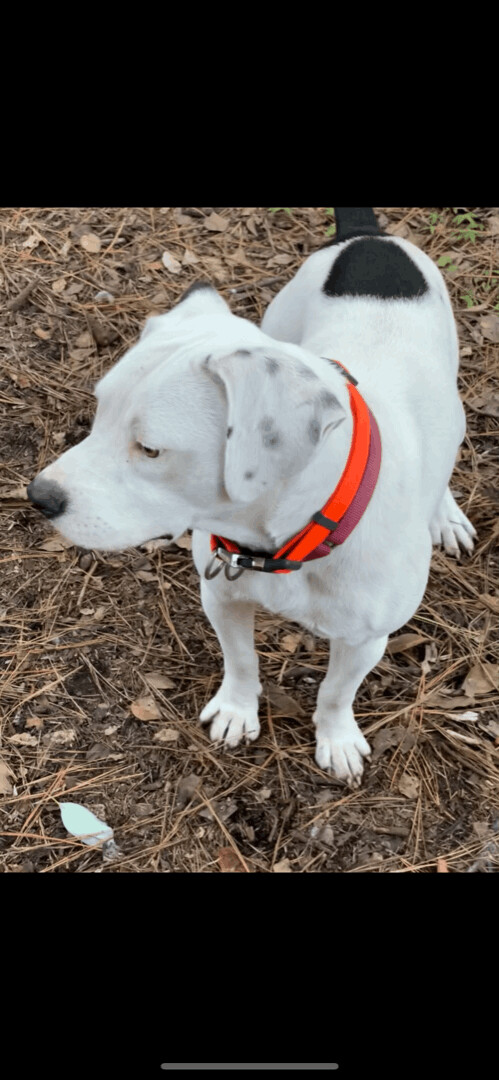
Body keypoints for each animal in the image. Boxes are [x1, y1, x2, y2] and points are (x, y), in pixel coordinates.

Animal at [28, 208, 475, 786]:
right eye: (98, 413)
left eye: (150, 448)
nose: (38, 496)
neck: (287, 534)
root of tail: (369, 236)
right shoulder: (221, 596)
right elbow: (241, 660)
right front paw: (238, 710)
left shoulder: (365, 640)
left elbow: (336, 692)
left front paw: (336, 738)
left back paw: (444, 514)